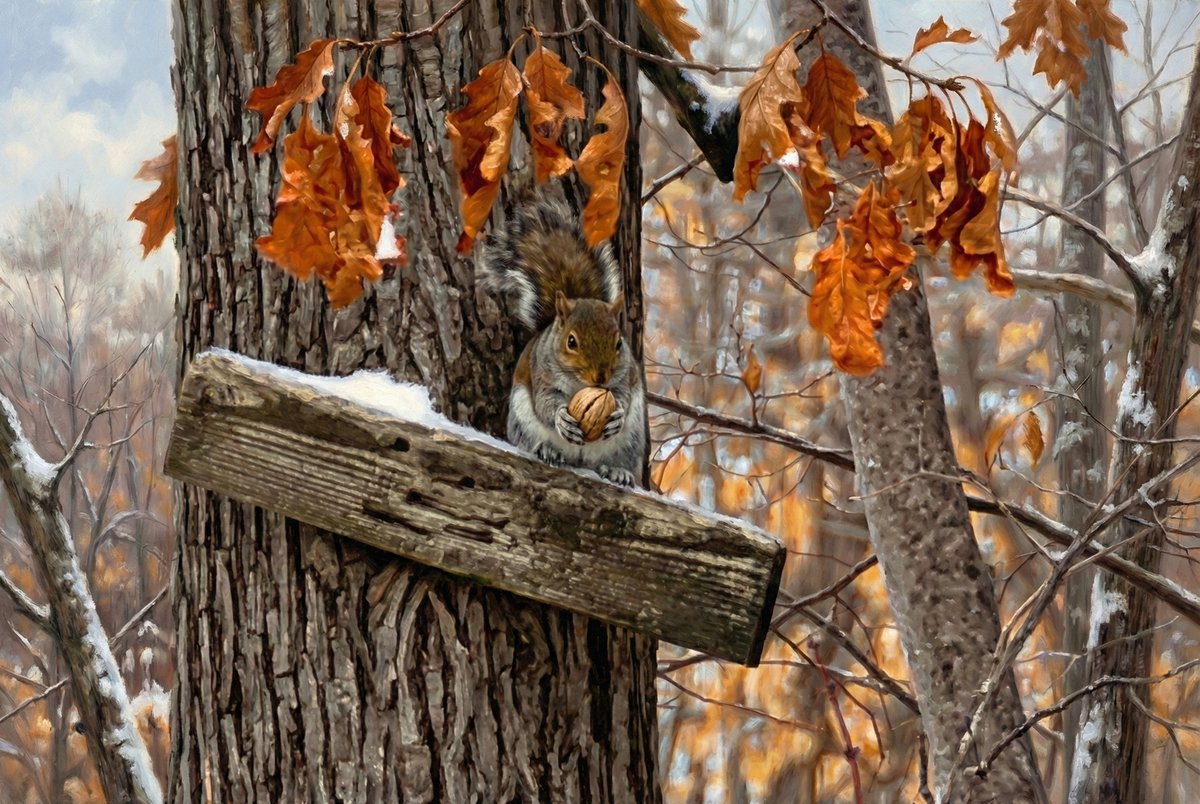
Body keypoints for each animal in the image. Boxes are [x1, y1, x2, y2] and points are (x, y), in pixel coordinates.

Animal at [480, 192, 645, 487]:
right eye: (571, 342)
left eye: (619, 343)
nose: (600, 378)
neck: (581, 384)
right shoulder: (542, 376)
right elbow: (546, 403)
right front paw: (561, 418)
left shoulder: (625, 379)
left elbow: (623, 398)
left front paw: (617, 415)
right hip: (523, 422)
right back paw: (548, 450)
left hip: (631, 440)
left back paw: (618, 471)